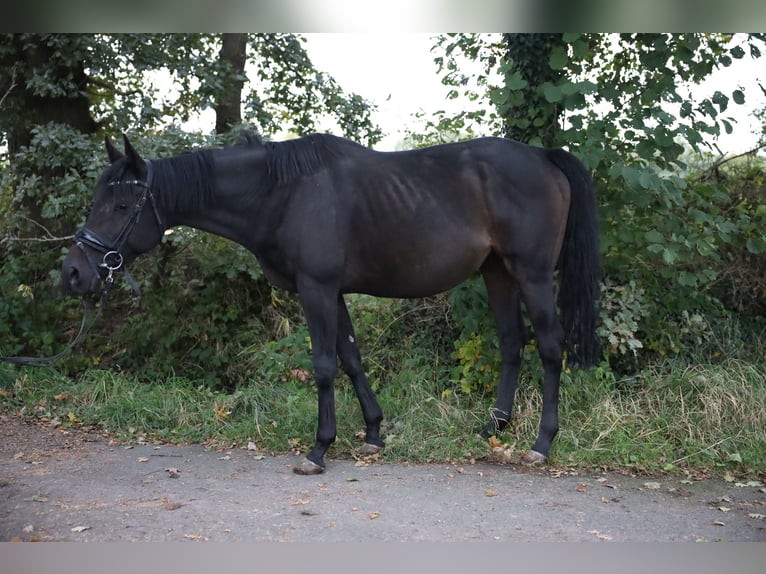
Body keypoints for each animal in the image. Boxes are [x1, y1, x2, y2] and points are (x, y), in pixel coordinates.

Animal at [61, 133, 600, 474]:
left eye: (122, 205)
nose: (73, 273)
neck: (282, 193)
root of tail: (544, 157)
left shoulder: (315, 288)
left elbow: (323, 365)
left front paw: (318, 449)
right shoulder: (334, 291)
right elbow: (352, 359)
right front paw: (374, 434)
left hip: (531, 274)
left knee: (550, 348)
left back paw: (541, 445)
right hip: (497, 273)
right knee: (511, 343)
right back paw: (494, 428)